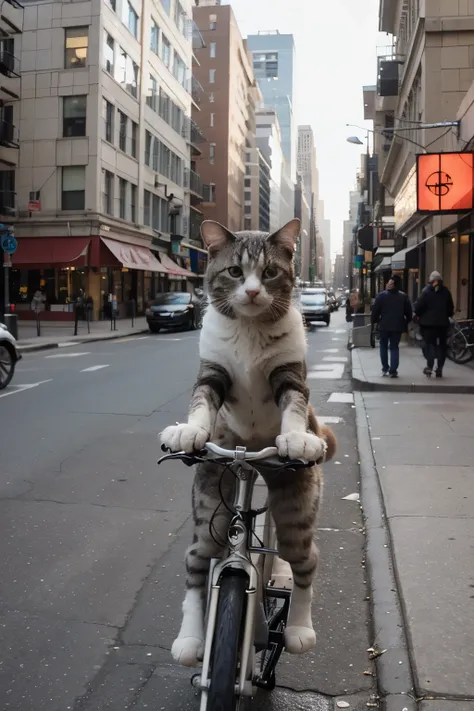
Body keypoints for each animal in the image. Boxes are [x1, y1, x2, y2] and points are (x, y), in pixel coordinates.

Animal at [161, 217, 336, 668]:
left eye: (269, 272)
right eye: (236, 272)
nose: (254, 292)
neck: (249, 328)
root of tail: (250, 459)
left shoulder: (289, 373)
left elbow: (293, 403)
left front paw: (296, 438)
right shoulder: (213, 370)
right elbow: (202, 399)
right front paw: (188, 430)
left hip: (295, 503)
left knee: (303, 558)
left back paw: (299, 628)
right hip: (212, 496)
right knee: (198, 556)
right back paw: (190, 640)